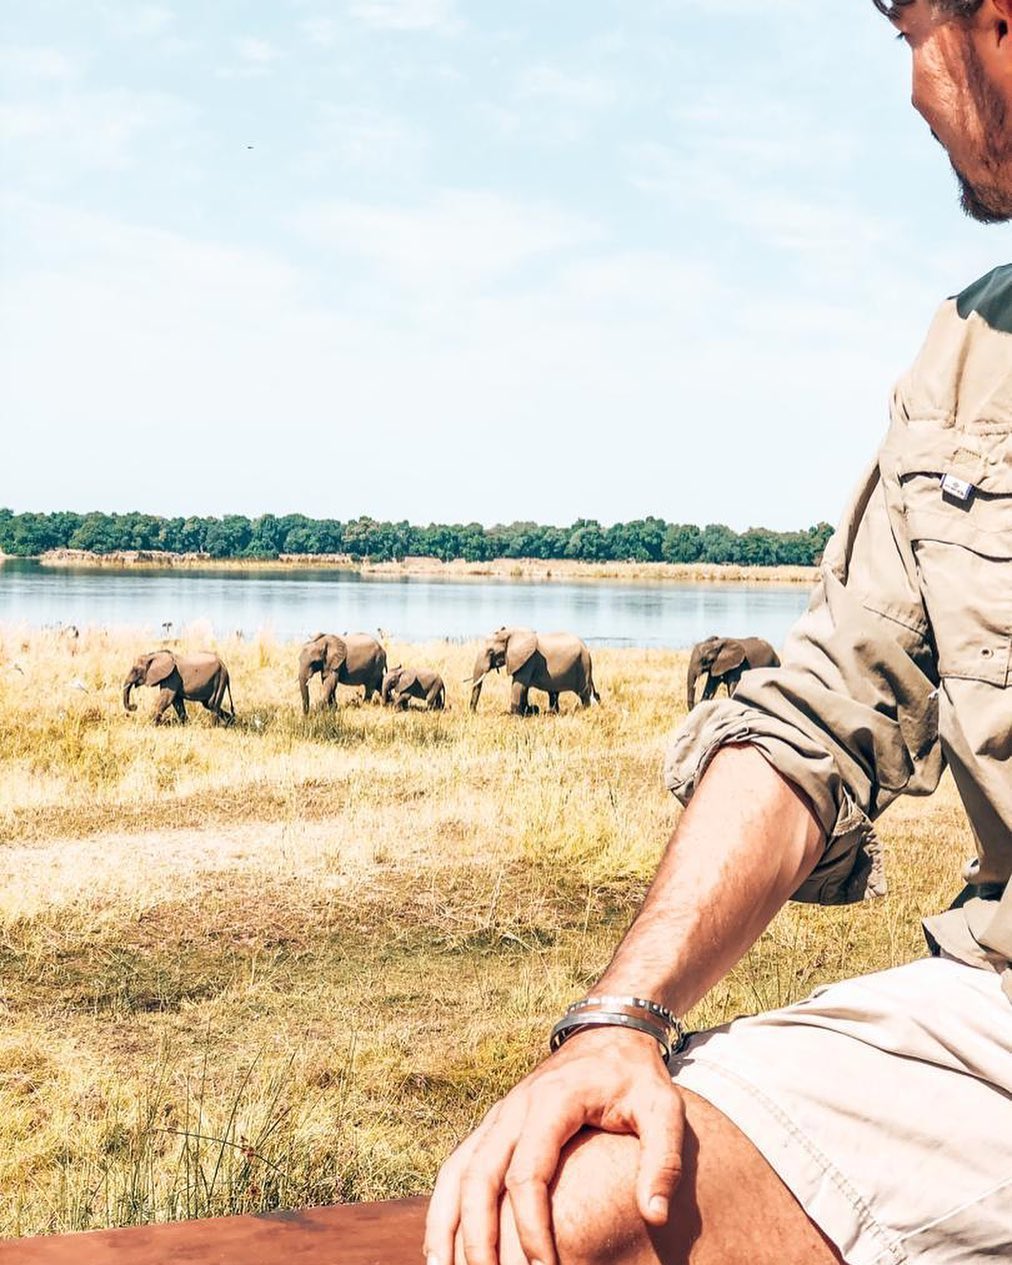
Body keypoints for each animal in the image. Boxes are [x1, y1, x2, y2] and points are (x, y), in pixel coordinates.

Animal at [468, 627, 602, 718]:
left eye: (491, 652)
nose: (474, 712)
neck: (511, 632)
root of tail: (587, 650)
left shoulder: (528, 660)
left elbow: (518, 686)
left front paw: (513, 715)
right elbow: (524, 688)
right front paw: (530, 710)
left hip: (583, 666)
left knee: (583, 694)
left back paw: (584, 711)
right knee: (553, 693)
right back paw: (551, 713)